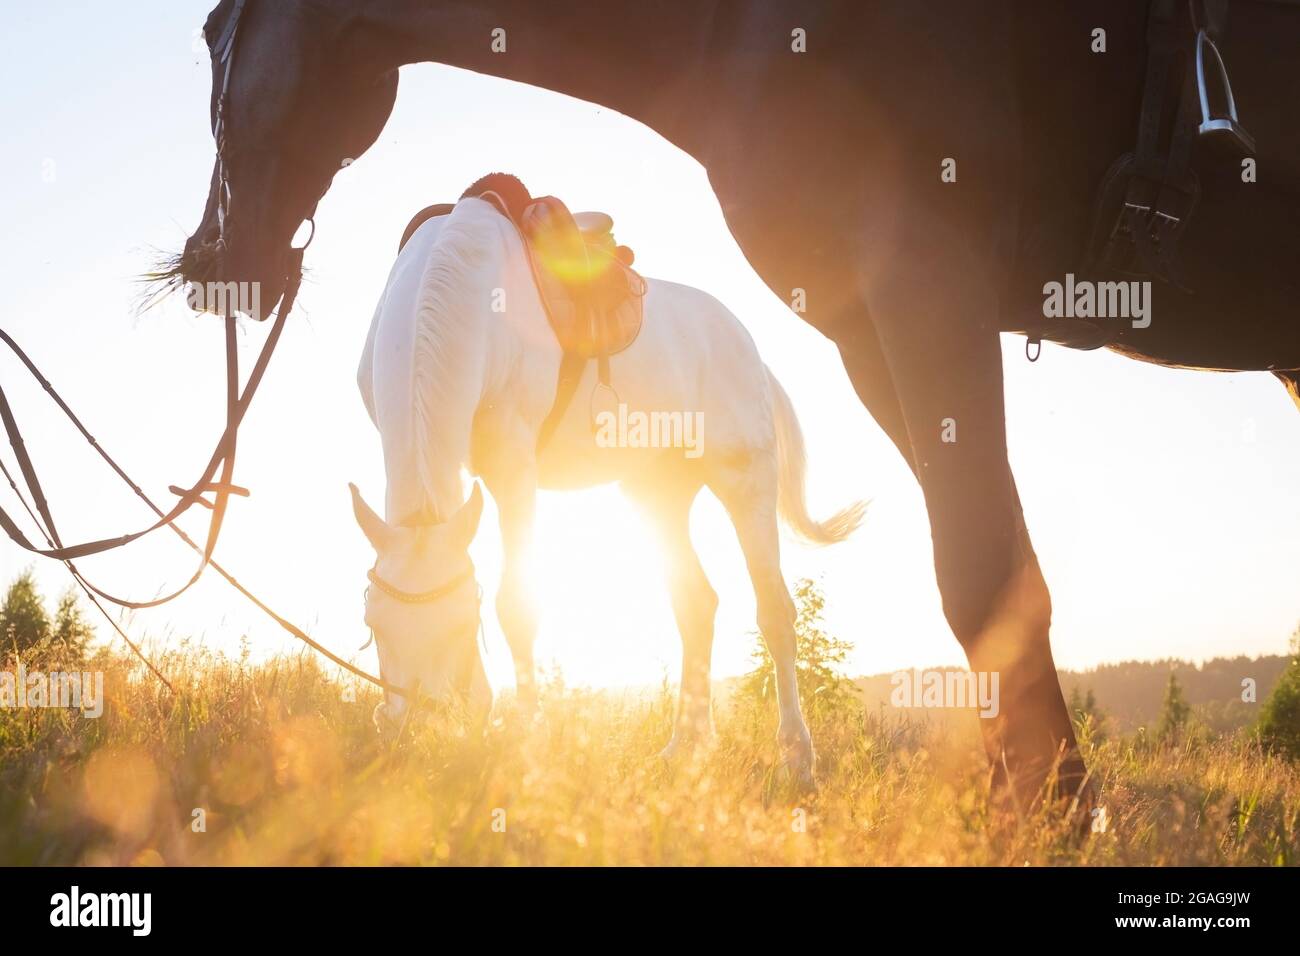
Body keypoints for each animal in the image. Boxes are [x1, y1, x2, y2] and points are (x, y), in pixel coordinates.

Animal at [349, 178, 864, 785]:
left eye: (459, 627)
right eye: (374, 625)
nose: (419, 732)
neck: (453, 285)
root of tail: (750, 350)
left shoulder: (512, 466)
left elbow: (518, 603)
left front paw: (523, 745)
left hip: (745, 480)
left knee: (775, 612)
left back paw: (798, 758)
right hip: (656, 495)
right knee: (696, 604)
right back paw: (684, 749)